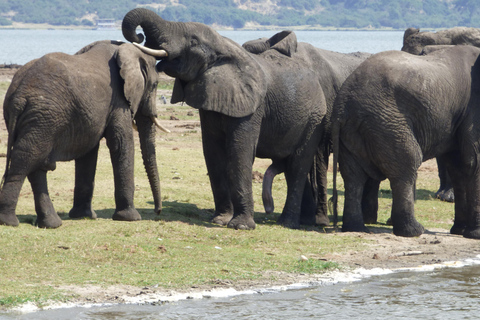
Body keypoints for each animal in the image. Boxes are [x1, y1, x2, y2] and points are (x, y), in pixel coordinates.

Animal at [0, 40, 169, 229]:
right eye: (154, 85)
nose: (158, 212)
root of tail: (18, 97)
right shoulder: (118, 100)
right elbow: (120, 144)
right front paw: (130, 218)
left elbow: (88, 153)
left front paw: (83, 216)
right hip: (43, 117)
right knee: (25, 160)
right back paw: (9, 221)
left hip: (37, 119)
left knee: (35, 164)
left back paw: (51, 223)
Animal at [123, 8, 368, 230]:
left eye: (193, 41)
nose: (139, 36)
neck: (225, 47)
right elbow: (212, 152)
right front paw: (220, 220)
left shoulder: (252, 107)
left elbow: (238, 151)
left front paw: (240, 226)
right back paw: (301, 221)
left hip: (314, 119)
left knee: (298, 165)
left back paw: (288, 223)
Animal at [332, 45, 480, 240]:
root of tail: (343, 103)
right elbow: (474, 162)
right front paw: (474, 234)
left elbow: (458, 167)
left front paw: (460, 231)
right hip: (387, 122)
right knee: (408, 164)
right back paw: (413, 231)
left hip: (354, 131)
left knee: (353, 176)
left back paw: (355, 228)